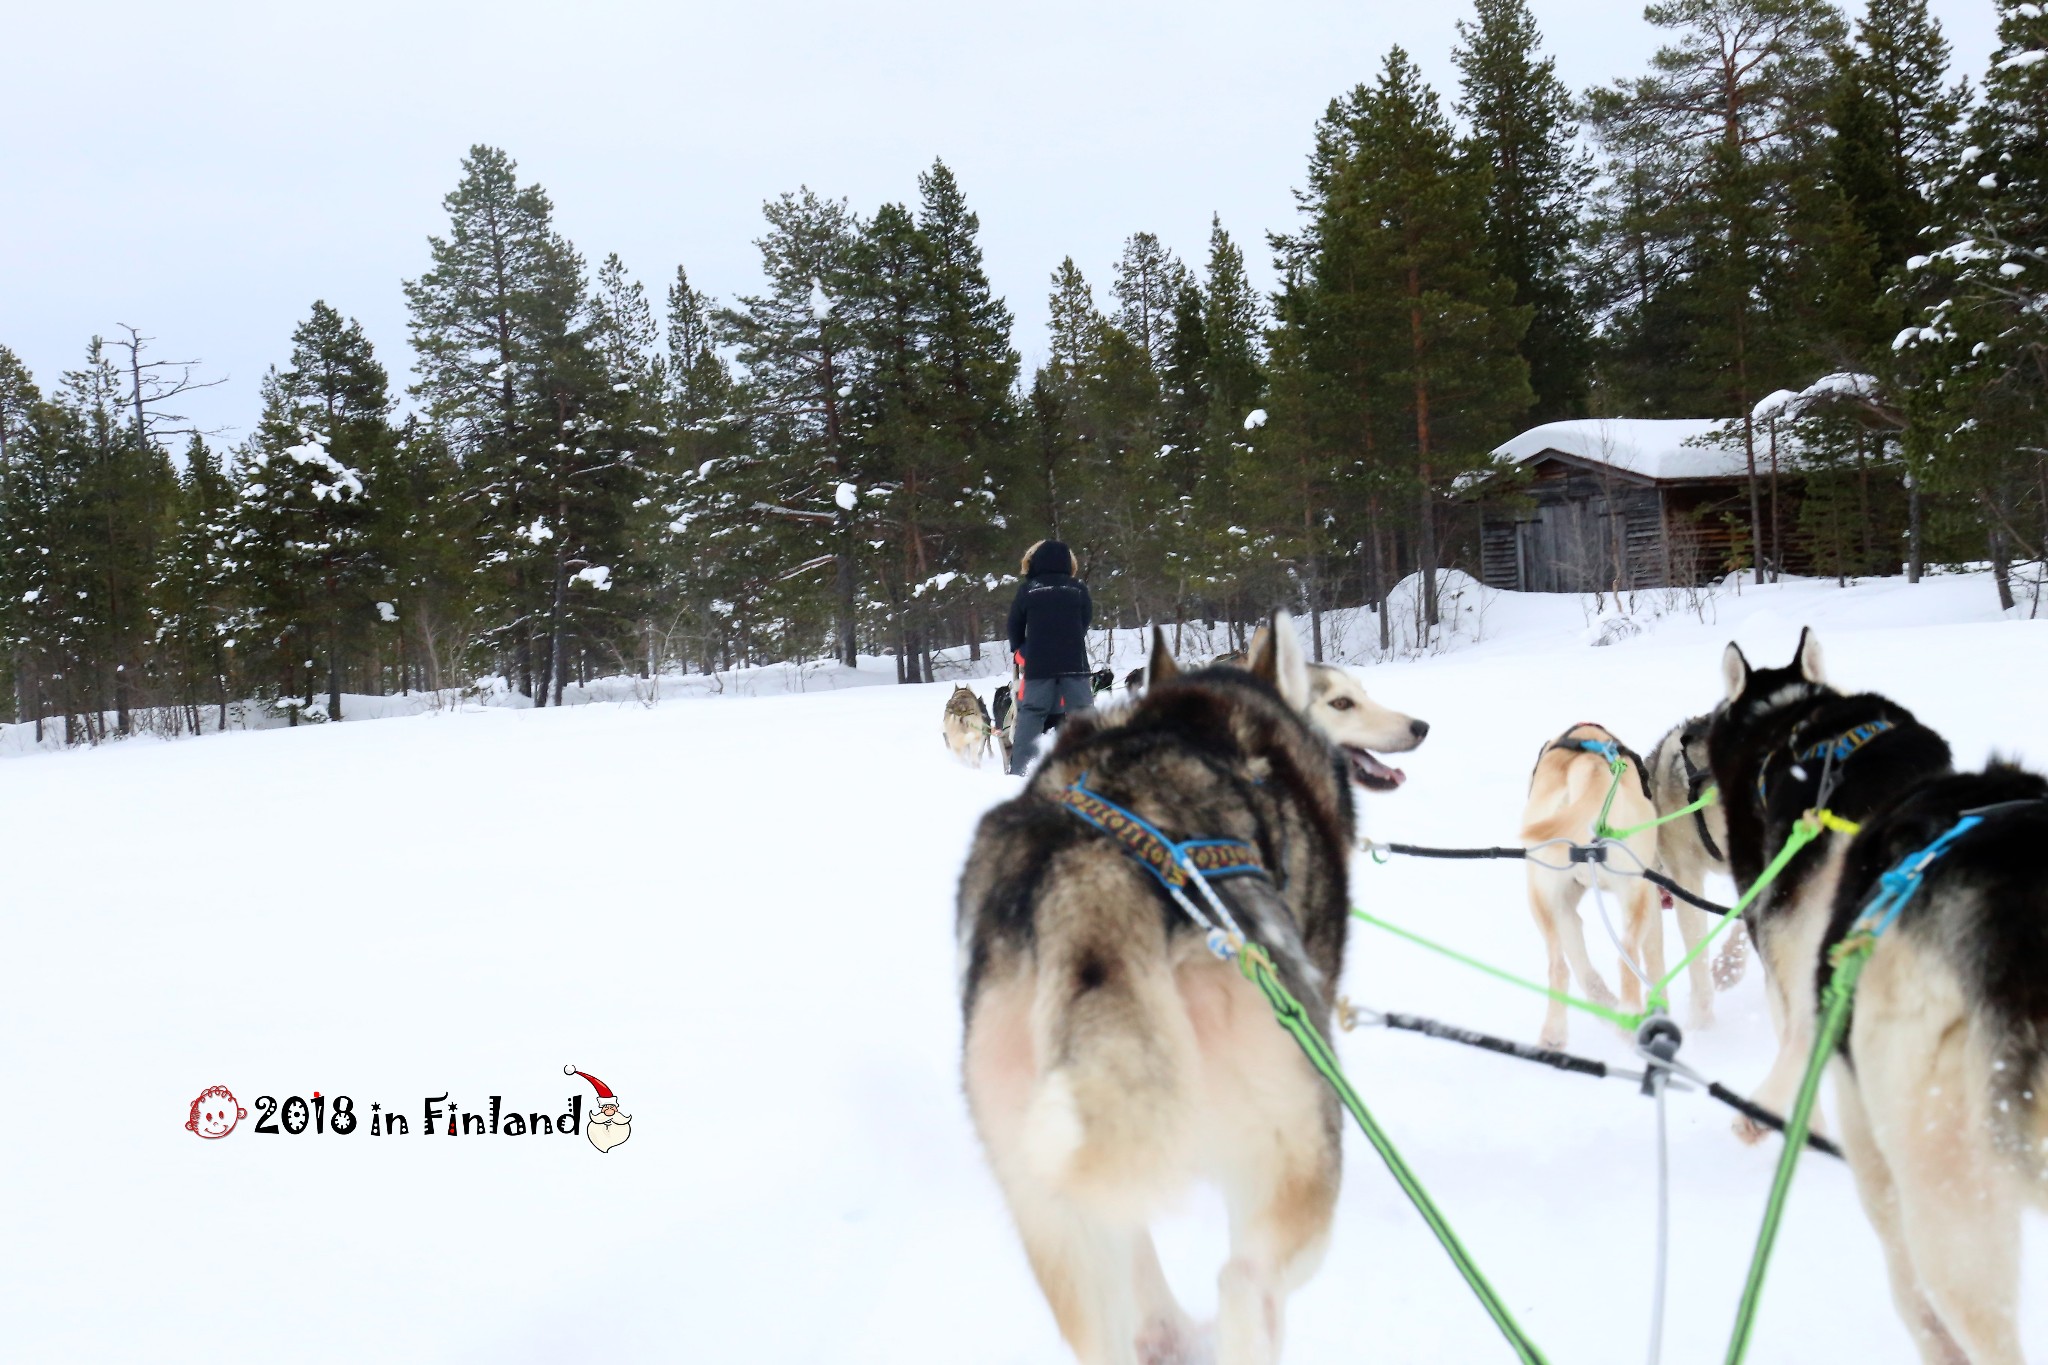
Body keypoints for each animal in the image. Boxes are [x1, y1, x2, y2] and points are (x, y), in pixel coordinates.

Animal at [1523, 724, 1662, 1047]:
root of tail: (1590, 765)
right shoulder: (1649, 896)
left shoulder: (1564, 908)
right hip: (1635, 896)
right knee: (1627, 956)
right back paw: (1630, 1017)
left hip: (1542, 900)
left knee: (1559, 967)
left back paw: (1555, 1034)